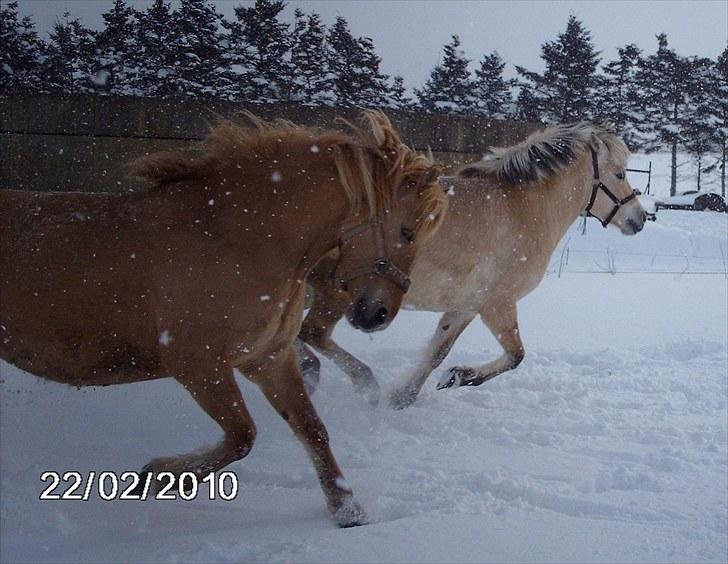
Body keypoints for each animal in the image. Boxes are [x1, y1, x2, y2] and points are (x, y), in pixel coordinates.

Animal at [0, 111, 446, 528]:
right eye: (407, 231)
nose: (379, 314)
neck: (237, 238)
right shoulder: (199, 366)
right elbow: (242, 436)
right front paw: (153, 477)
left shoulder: (268, 358)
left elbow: (311, 429)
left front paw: (347, 511)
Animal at [298, 123, 648, 408]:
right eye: (620, 173)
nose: (640, 218)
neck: (523, 208)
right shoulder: (498, 305)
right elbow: (516, 355)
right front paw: (461, 376)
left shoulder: (465, 306)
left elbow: (438, 351)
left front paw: (405, 396)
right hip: (337, 293)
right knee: (312, 333)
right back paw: (361, 382)